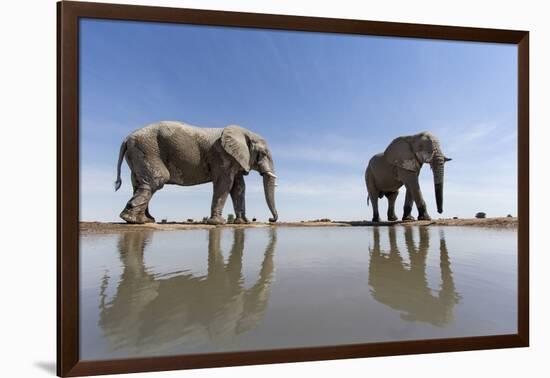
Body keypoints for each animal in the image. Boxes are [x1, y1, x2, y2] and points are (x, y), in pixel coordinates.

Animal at [114, 121, 278, 223]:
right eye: (263, 154)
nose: (271, 220)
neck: (244, 133)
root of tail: (126, 139)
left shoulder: (235, 159)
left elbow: (238, 187)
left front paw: (242, 223)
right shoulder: (222, 155)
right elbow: (225, 184)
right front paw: (218, 223)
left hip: (137, 154)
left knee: (139, 183)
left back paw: (145, 220)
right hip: (147, 150)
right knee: (157, 180)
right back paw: (135, 221)